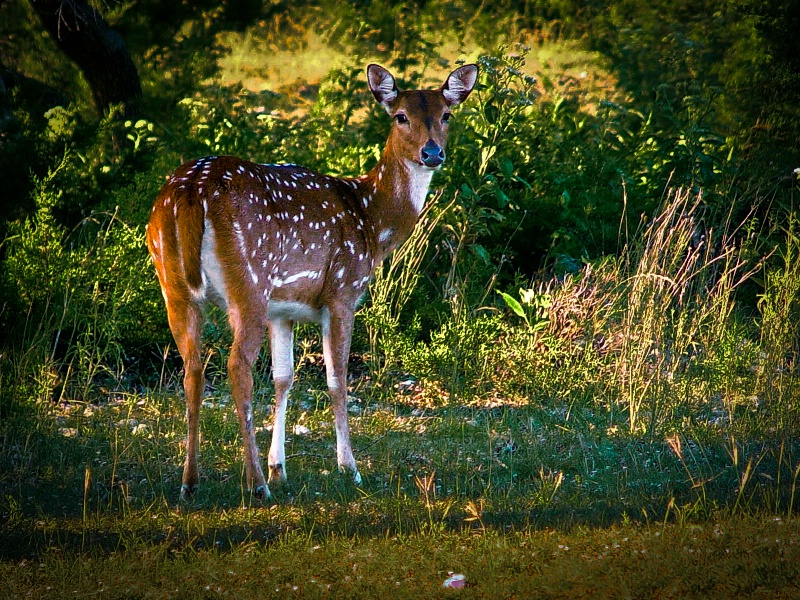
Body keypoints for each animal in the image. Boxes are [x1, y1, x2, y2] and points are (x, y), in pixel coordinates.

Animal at [147, 63, 478, 500]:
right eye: (400, 117)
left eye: (447, 115)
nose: (432, 153)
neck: (371, 222)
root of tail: (191, 192)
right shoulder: (342, 291)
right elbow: (337, 380)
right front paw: (349, 468)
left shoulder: (283, 310)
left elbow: (284, 378)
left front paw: (280, 468)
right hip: (248, 282)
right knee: (237, 367)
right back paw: (255, 486)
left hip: (173, 285)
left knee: (193, 369)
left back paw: (190, 482)